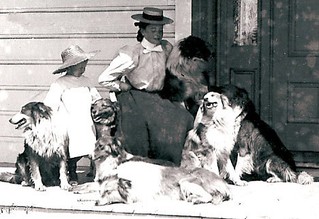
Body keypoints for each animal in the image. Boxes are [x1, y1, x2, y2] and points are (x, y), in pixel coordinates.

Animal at [182, 84, 316, 186]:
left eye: (221, 91)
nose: (204, 96)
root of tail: (295, 170)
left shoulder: (242, 148)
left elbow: (236, 167)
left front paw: (235, 180)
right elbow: (226, 164)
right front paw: (224, 176)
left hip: (270, 160)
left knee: (288, 177)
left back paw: (273, 179)